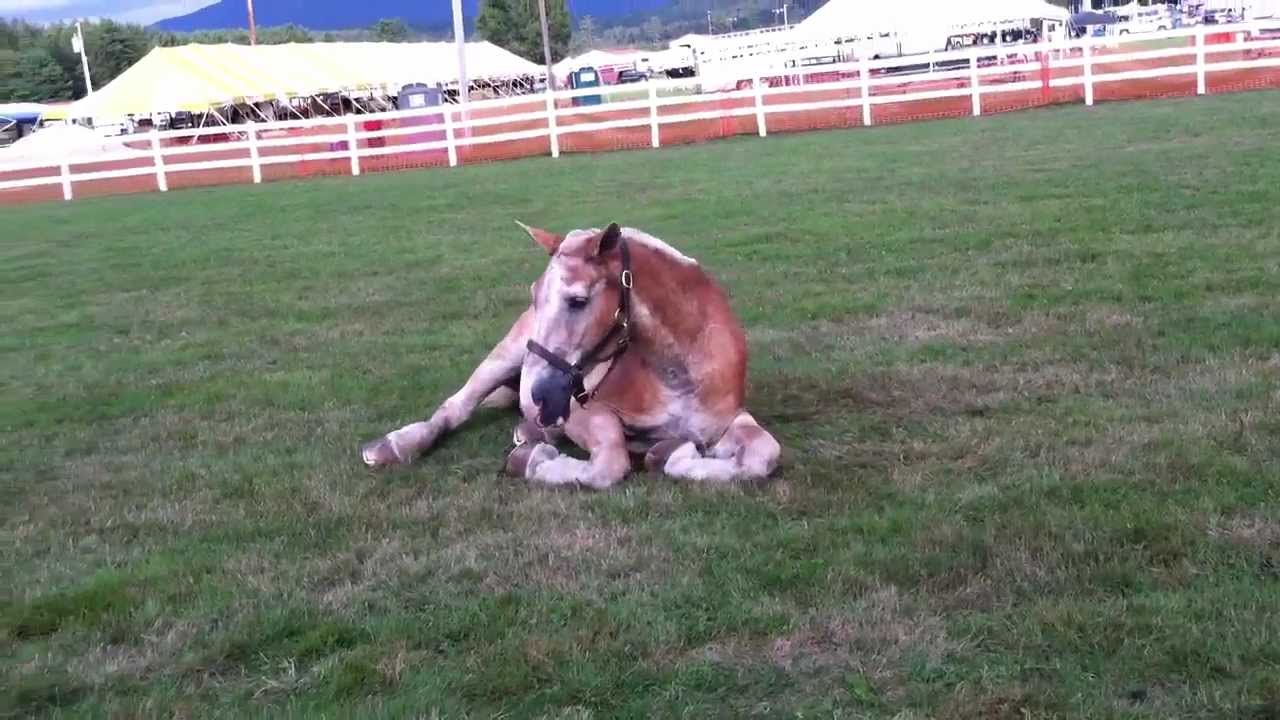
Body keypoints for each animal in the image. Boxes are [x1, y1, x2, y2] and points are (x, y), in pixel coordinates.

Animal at [359, 222, 781, 489]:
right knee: (456, 406)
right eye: (534, 294)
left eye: (577, 300)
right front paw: (534, 462)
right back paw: (397, 445)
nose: (536, 395)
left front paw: (670, 455)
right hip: (506, 356)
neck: (676, 371)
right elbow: (609, 462)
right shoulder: (584, 411)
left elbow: (765, 454)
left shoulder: (727, 421)